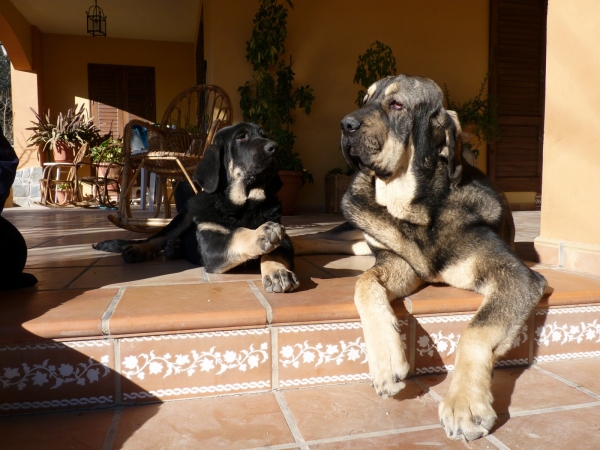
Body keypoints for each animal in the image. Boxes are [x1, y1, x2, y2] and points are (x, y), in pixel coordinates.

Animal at [93, 121, 298, 294]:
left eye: (264, 135)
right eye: (241, 137)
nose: (275, 148)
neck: (243, 206)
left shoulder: (285, 241)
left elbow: (274, 252)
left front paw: (277, 273)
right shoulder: (212, 245)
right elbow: (238, 234)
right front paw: (260, 233)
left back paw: (174, 248)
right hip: (182, 217)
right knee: (155, 239)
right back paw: (138, 249)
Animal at [338, 74, 548, 442]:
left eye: (397, 105)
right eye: (365, 99)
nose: (345, 125)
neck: (416, 209)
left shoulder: (515, 275)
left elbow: (476, 330)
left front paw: (464, 402)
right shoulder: (398, 263)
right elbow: (364, 282)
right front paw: (385, 359)